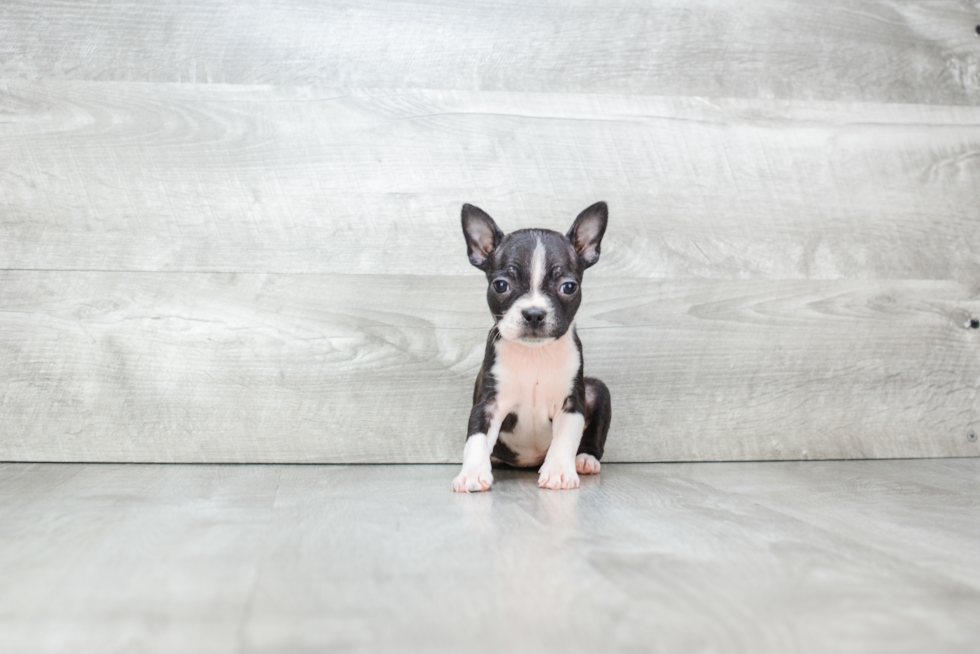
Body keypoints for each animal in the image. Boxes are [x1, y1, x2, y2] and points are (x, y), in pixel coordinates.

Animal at [454, 202, 612, 494]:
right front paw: (471, 474)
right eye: (501, 285)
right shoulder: (489, 404)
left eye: (568, 287)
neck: (535, 354)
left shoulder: (571, 404)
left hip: (597, 389)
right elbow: (476, 438)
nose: (534, 313)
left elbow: (565, 439)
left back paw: (585, 459)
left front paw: (559, 472)